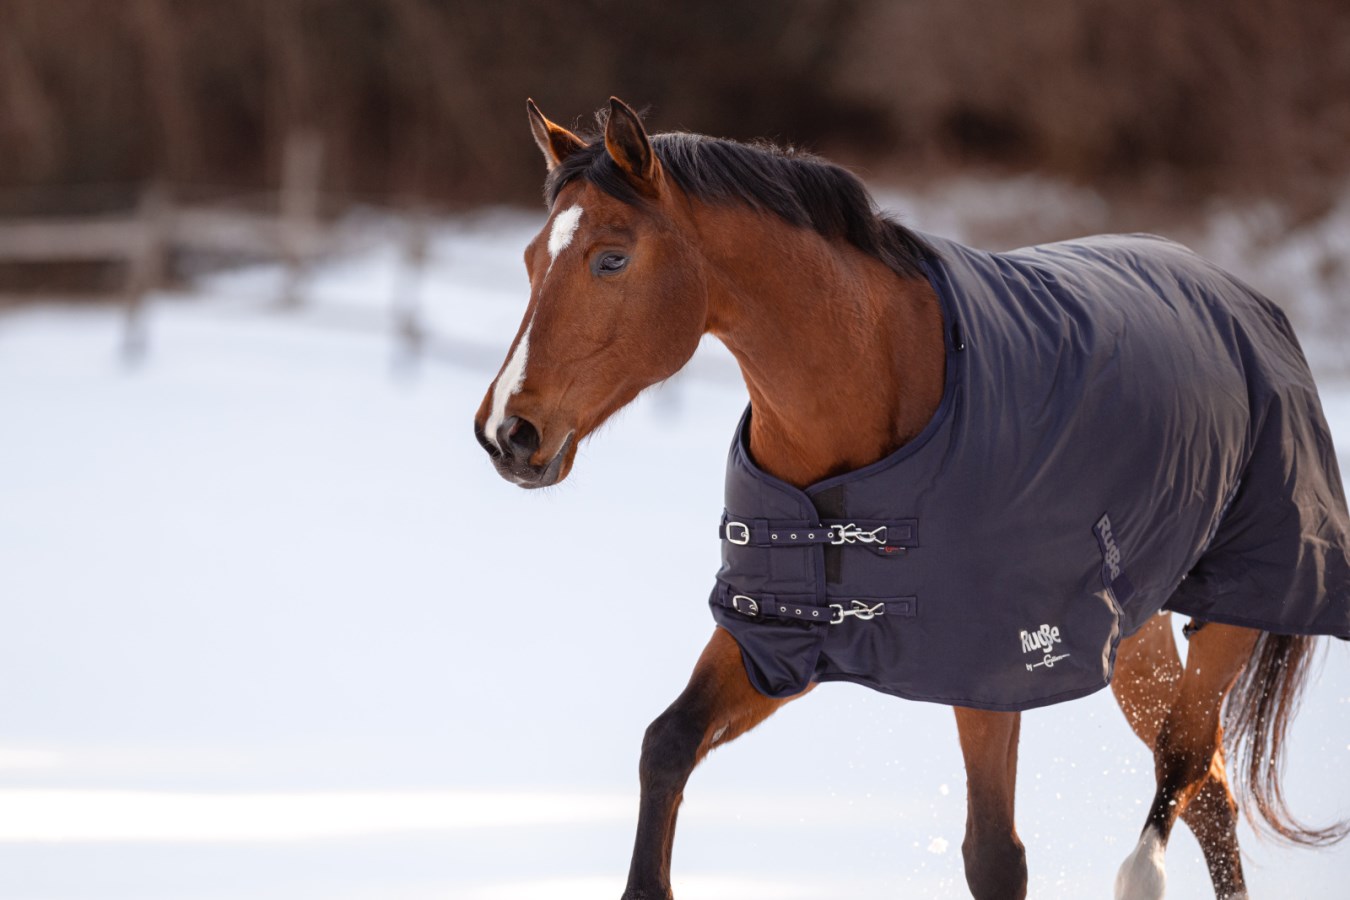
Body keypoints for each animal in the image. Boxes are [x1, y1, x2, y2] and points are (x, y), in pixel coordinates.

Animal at [472, 97, 1350, 899]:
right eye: (528, 258)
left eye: (611, 260)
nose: (506, 432)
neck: (877, 387)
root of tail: (1244, 297)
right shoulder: (776, 637)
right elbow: (667, 744)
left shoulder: (992, 667)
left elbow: (995, 858)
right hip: (1133, 633)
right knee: (1212, 795)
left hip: (1235, 613)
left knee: (1184, 761)